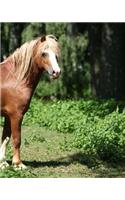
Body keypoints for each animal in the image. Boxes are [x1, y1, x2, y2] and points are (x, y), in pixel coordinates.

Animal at [0, 34, 60, 169]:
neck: (15, 78)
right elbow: (17, 139)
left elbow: (5, 138)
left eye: (56, 54)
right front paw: (18, 164)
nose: (56, 72)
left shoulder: (8, 116)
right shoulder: (16, 115)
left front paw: (3, 163)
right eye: (44, 53)